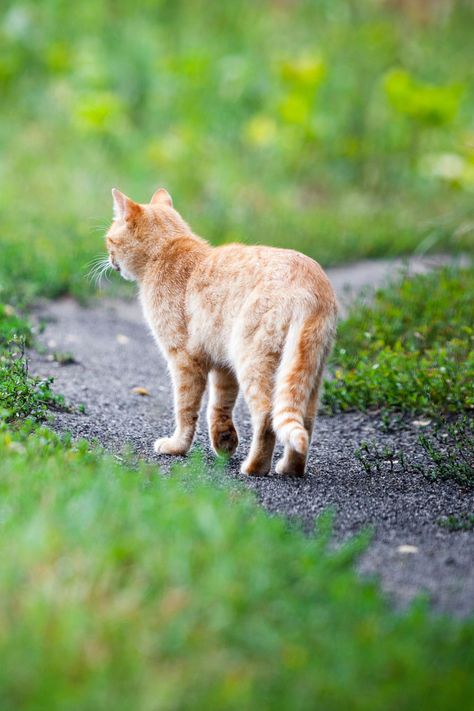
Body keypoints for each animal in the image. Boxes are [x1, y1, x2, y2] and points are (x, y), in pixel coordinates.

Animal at [106, 188, 336, 478]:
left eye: (109, 240)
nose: (109, 259)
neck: (166, 252)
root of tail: (311, 286)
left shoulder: (183, 361)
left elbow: (185, 409)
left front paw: (176, 446)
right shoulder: (222, 365)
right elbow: (219, 407)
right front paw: (224, 442)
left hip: (253, 362)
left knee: (267, 416)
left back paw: (254, 467)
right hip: (306, 372)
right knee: (304, 421)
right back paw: (290, 468)